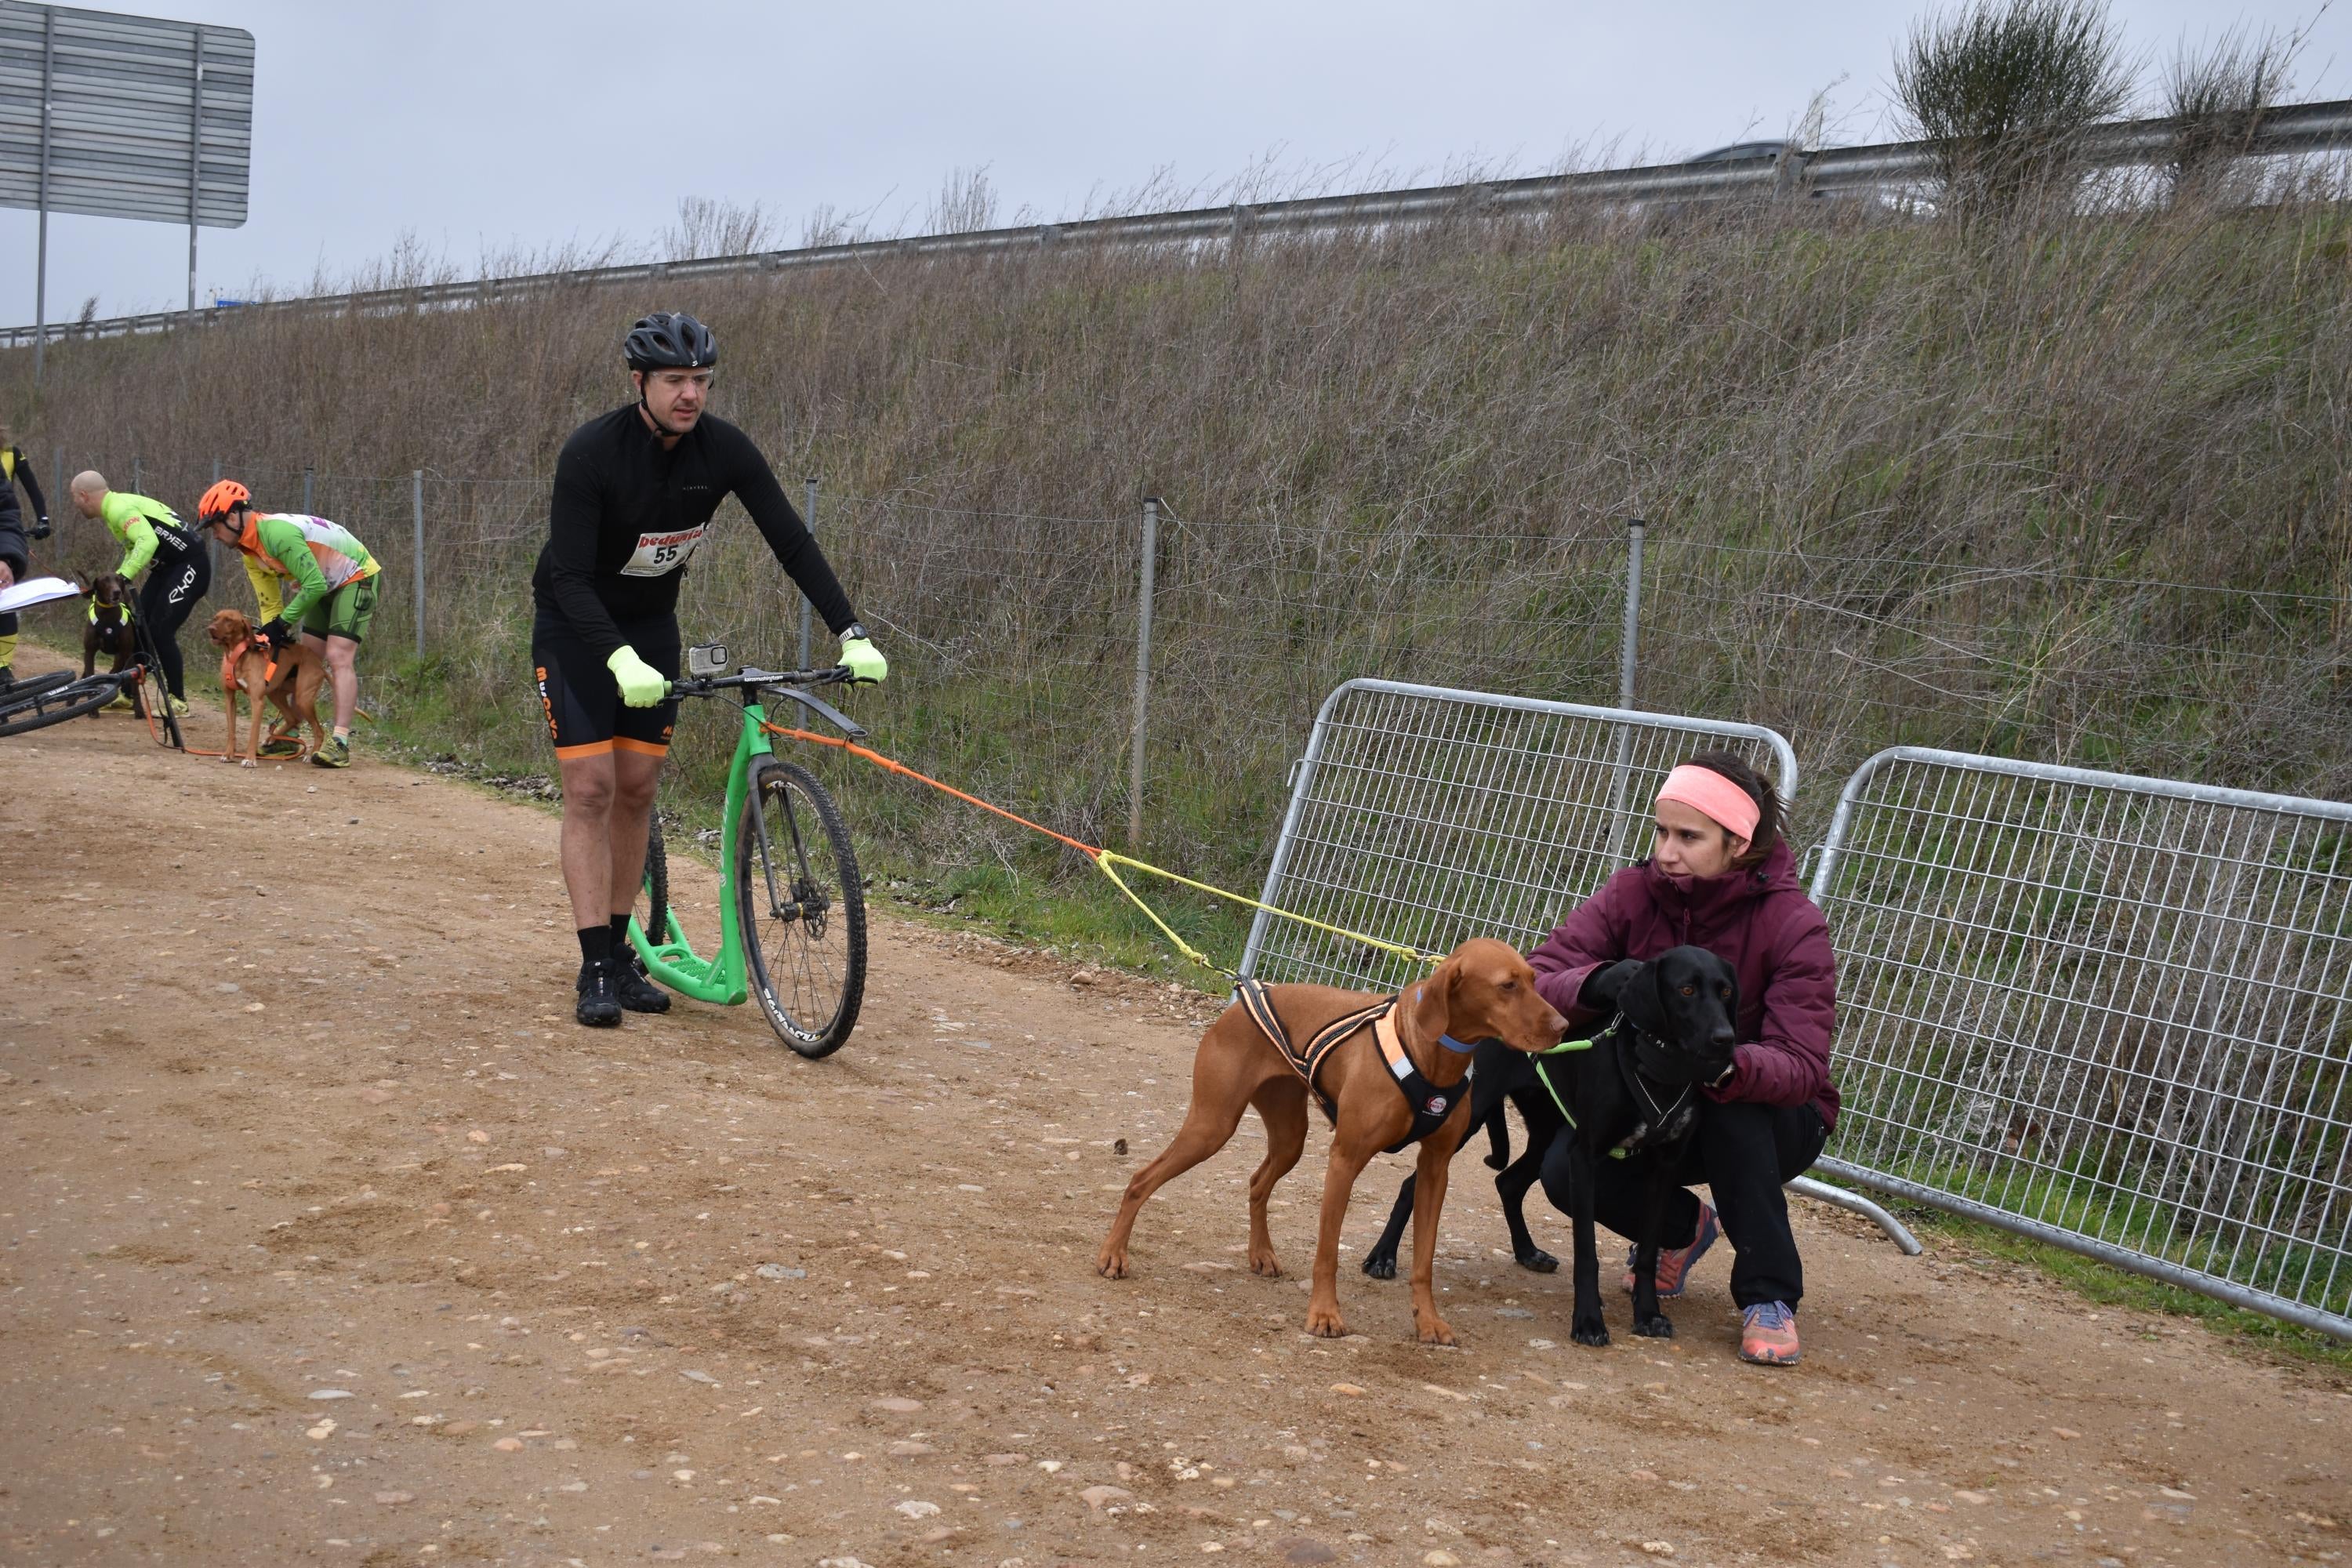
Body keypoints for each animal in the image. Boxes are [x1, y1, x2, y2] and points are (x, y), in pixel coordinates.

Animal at [205, 606, 327, 766]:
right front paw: (228, 754)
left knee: (319, 731)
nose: (210, 628)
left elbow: (253, 733)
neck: (238, 654)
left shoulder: (257, 701)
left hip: (303, 699)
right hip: (275, 694)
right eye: (215, 618)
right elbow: (231, 731)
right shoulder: (229, 698)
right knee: (293, 719)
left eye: (229, 620)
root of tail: (319, 664)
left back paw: (312, 755)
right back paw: (271, 738)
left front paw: (250, 759)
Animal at [1096, 940, 1562, 1345]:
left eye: (1534, 979)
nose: (1562, 1026)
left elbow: (1424, 1262)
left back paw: (1261, 1254)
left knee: (1257, 1183)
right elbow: (1327, 1254)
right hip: (1212, 1125)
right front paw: (1323, 1315)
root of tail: (1244, 997)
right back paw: (1114, 1254)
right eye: (1507, 985)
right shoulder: (1345, 1160)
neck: (1428, 1052)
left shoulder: (1435, 1169)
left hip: (1289, 1139)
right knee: (1141, 1179)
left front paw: (1428, 1322)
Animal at [1364, 945, 1750, 1354]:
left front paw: (1647, 1314)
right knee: (1413, 1185)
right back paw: (1383, 1257)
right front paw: (1589, 1321)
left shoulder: (1664, 1167)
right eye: (1686, 990)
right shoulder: (1584, 1159)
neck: (1659, 1075)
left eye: (1726, 992)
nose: (1724, 1038)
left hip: (1547, 1133)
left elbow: (1647, 1252)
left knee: (1508, 1182)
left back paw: (1527, 1251)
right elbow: (1587, 1253)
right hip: (1473, 1119)